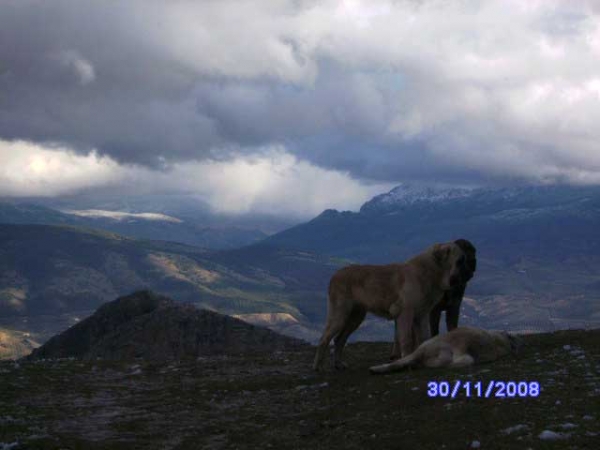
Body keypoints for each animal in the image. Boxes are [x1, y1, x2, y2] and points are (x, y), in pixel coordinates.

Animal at [312, 241, 472, 370]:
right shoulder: (406, 314)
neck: (430, 271)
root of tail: (334, 276)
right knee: (324, 339)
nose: (469, 275)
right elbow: (406, 340)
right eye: (460, 260)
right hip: (340, 315)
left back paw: (338, 364)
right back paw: (318, 366)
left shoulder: (422, 316)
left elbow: (424, 338)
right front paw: (406, 361)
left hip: (355, 317)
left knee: (339, 339)